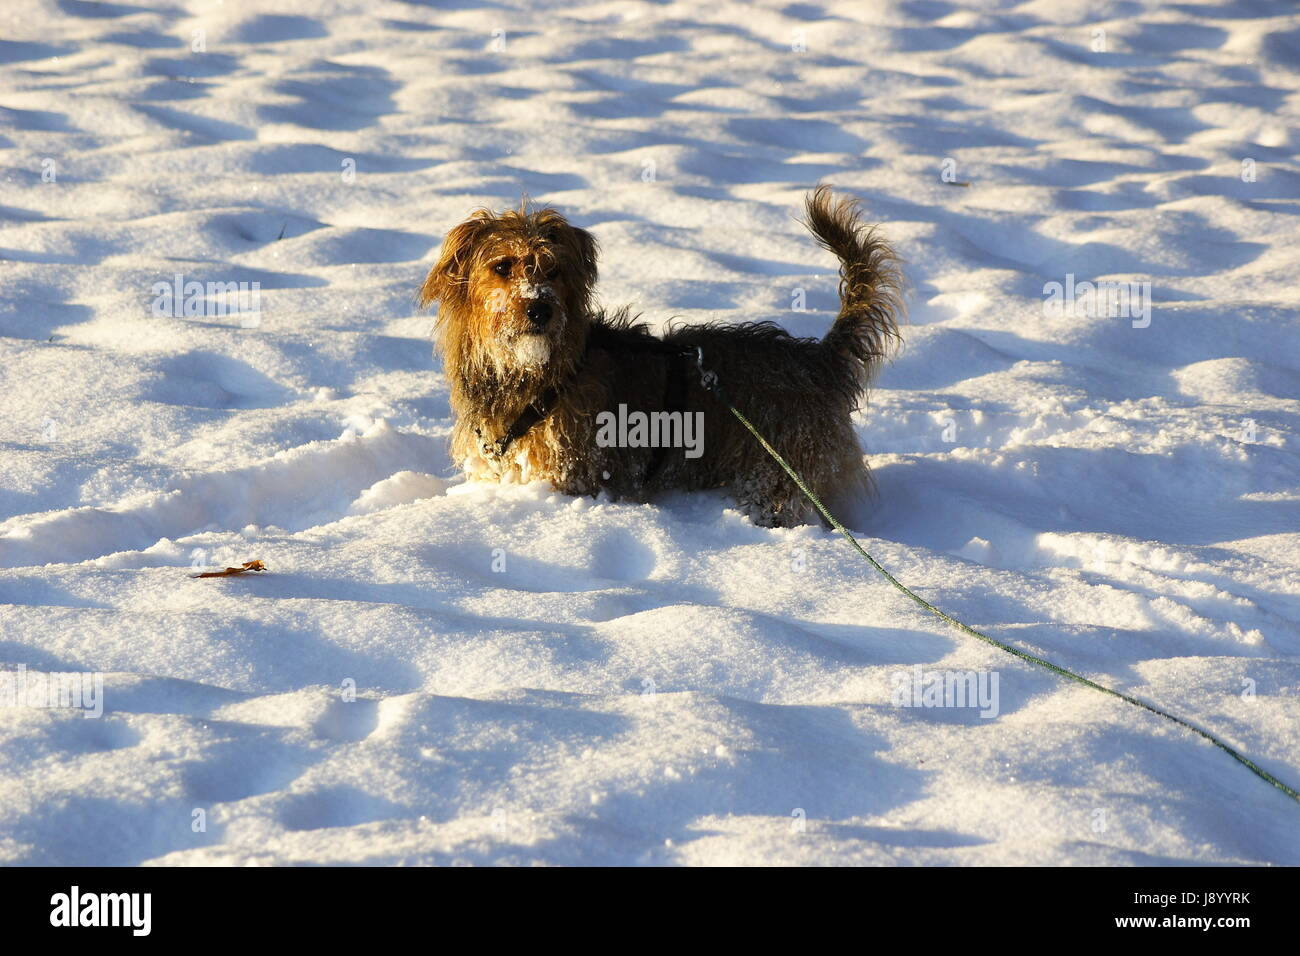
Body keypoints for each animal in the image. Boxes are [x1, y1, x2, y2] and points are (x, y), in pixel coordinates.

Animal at [421, 184, 899, 530]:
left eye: (552, 269)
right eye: (502, 266)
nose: (540, 308)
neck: (530, 374)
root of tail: (815, 359)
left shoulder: (574, 475)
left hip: (777, 477)